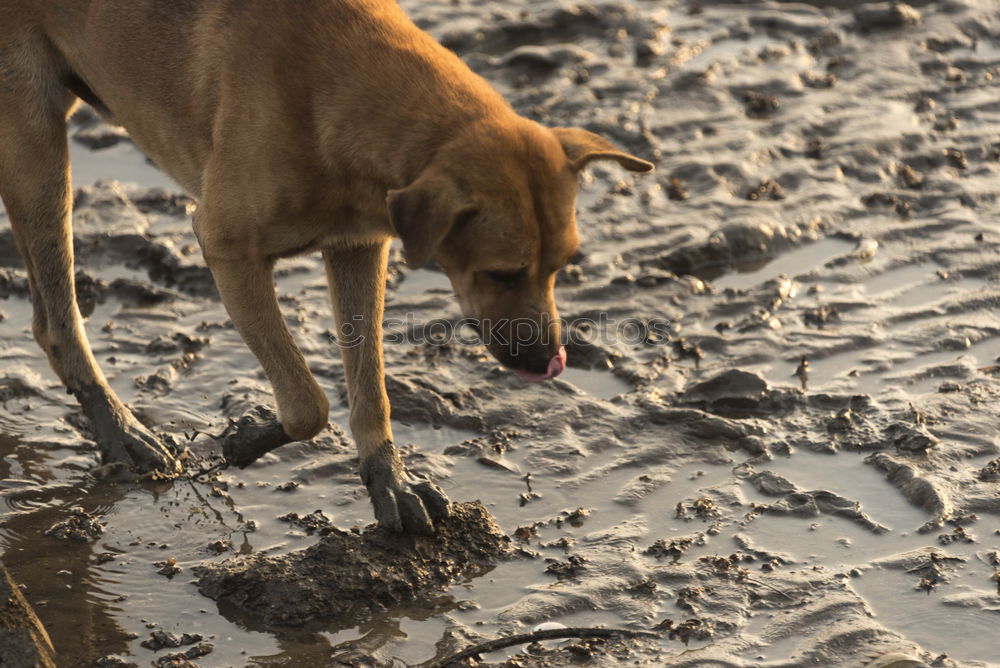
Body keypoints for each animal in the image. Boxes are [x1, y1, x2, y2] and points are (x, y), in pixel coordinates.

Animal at [0, 0, 652, 532]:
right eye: (501, 274)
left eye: (563, 265)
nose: (550, 362)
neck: (339, 86)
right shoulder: (227, 249)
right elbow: (308, 402)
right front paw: (247, 438)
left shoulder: (359, 246)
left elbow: (370, 386)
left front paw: (389, 480)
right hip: (36, 149)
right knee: (57, 320)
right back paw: (120, 429)